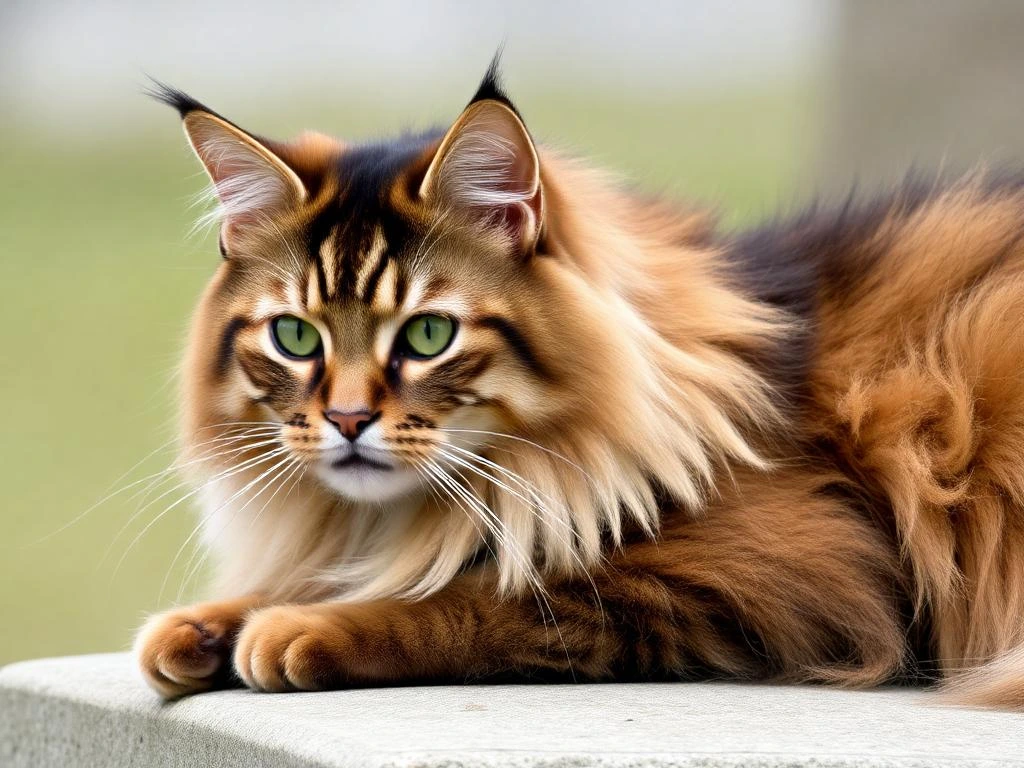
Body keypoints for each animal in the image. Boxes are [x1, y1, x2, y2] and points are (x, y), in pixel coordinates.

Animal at [132, 63, 1024, 712]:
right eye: (295, 337)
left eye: (427, 335)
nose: (347, 418)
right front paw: (202, 627)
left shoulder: (773, 571)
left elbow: (474, 597)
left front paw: (295, 627)